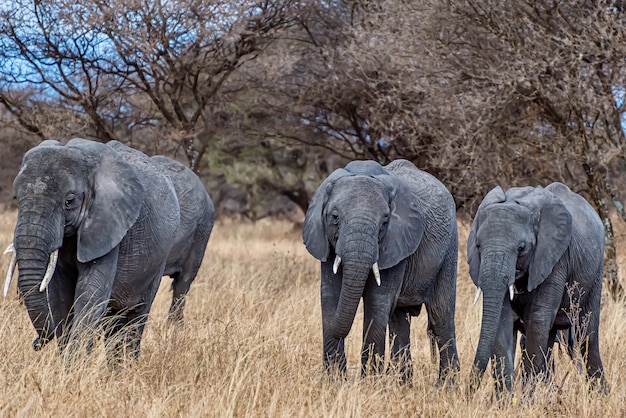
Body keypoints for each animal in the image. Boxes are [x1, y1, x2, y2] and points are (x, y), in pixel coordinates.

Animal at [3, 139, 212, 360]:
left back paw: (132, 363)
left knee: (153, 302)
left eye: (69, 201)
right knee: (114, 319)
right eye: (16, 197)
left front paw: (75, 366)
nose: (36, 343)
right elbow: (59, 296)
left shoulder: (109, 227)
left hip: (188, 238)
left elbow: (90, 297)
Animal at [302, 158, 458, 384]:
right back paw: (404, 386)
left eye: (385, 221)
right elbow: (330, 296)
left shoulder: (395, 242)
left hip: (450, 246)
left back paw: (445, 387)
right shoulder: (325, 241)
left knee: (440, 315)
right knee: (399, 321)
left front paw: (367, 384)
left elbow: (377, 301)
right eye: (334, 217)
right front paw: (335, 382)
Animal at [468, 181, 604, 394]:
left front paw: (525, 398)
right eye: (478, 246)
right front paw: (507, 399)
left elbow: (538, 318)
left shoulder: (555, 257)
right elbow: (503, 319)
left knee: (587, 334)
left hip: (595, 273)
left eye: (522, 247)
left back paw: (600, 395)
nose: (467, 391)